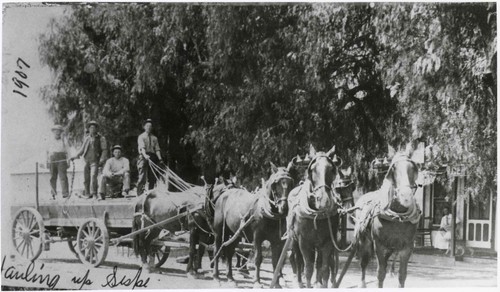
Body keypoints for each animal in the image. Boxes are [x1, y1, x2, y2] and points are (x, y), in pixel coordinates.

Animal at [212, 160, 296, 288]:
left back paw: (230, 277)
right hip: (218, 232)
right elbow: (258, 258)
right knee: (217, 249)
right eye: (276, 184)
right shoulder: (257, 237)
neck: (266, 211)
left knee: (229, 252)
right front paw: (257, 281)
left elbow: (276, 261)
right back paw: (216, 276)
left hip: (236, 233)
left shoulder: (276, 240)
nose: (285, 208)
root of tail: (224, 194)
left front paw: (277, 284)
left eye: (291, 183)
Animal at [286, 144, 344, 288]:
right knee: (298, 260)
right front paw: (305, 282)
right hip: (294, 240)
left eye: (331, 169)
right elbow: (308, 268)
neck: (316, 214)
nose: (324, 200)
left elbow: (324, 268)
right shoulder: (304, 242)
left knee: (319, 263)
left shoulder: (327, 241)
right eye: (312, 169)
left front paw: (322, 283)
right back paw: (299, 281)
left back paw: (317, 282)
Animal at [354, 144, 420, 288]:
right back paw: (362, 283)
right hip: (365, 242)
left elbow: (402, 275)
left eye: (413, 167)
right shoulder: (379, 245)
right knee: (363, 262)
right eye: (394, 168)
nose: (406, 195)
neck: (398, 217)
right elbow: (380, 274)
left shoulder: (407, 247)